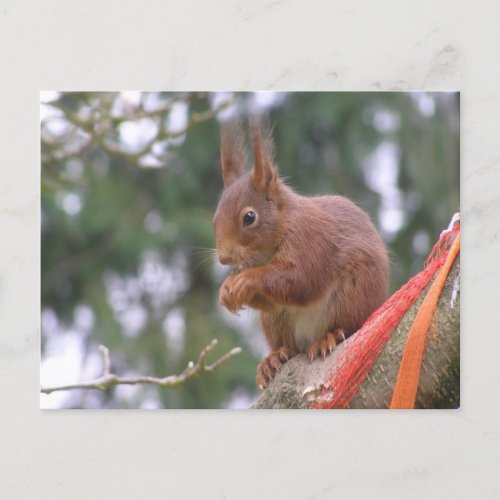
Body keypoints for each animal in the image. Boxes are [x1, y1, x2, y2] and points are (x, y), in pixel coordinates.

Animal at [213, 118, 388, 390]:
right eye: (215, 219)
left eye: (249, 217)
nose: (224, 258)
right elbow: (272, 299)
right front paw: (226, 291)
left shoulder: (310, 241)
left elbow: (300, 280)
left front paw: (245, 281)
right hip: (275, 322)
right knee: (285, 343)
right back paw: (273, 359)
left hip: (355, 293)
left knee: (347, 324)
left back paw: (328, 337)